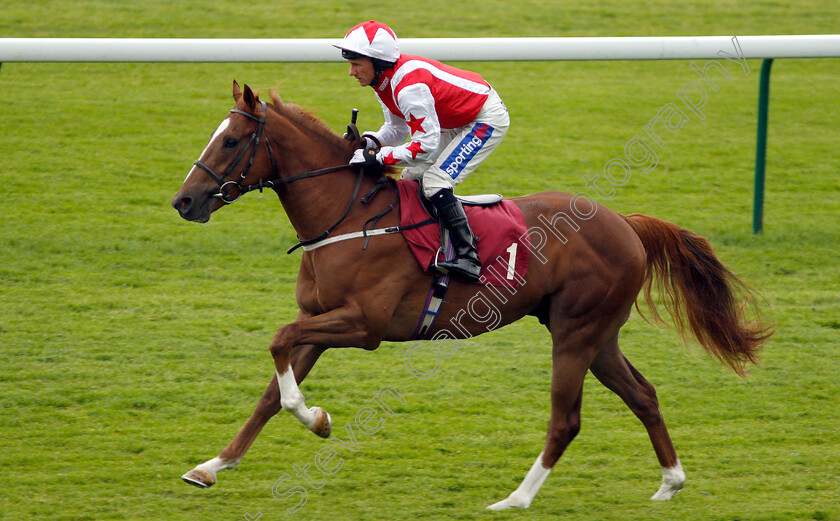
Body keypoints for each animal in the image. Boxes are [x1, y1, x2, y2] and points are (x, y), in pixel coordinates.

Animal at [171, 81, 776, 508]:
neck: (347, 216)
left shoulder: (363, 325)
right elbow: (271, 392)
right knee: (644, 395)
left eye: (230, 140)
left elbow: (279, 346)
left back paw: (516, 499)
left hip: (576, 332)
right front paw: (212, 466)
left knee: (566, 418)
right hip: (597, 335)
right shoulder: (320, 321)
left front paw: (318, 419)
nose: (184, 201)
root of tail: (625, 223)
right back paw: (670, 481)